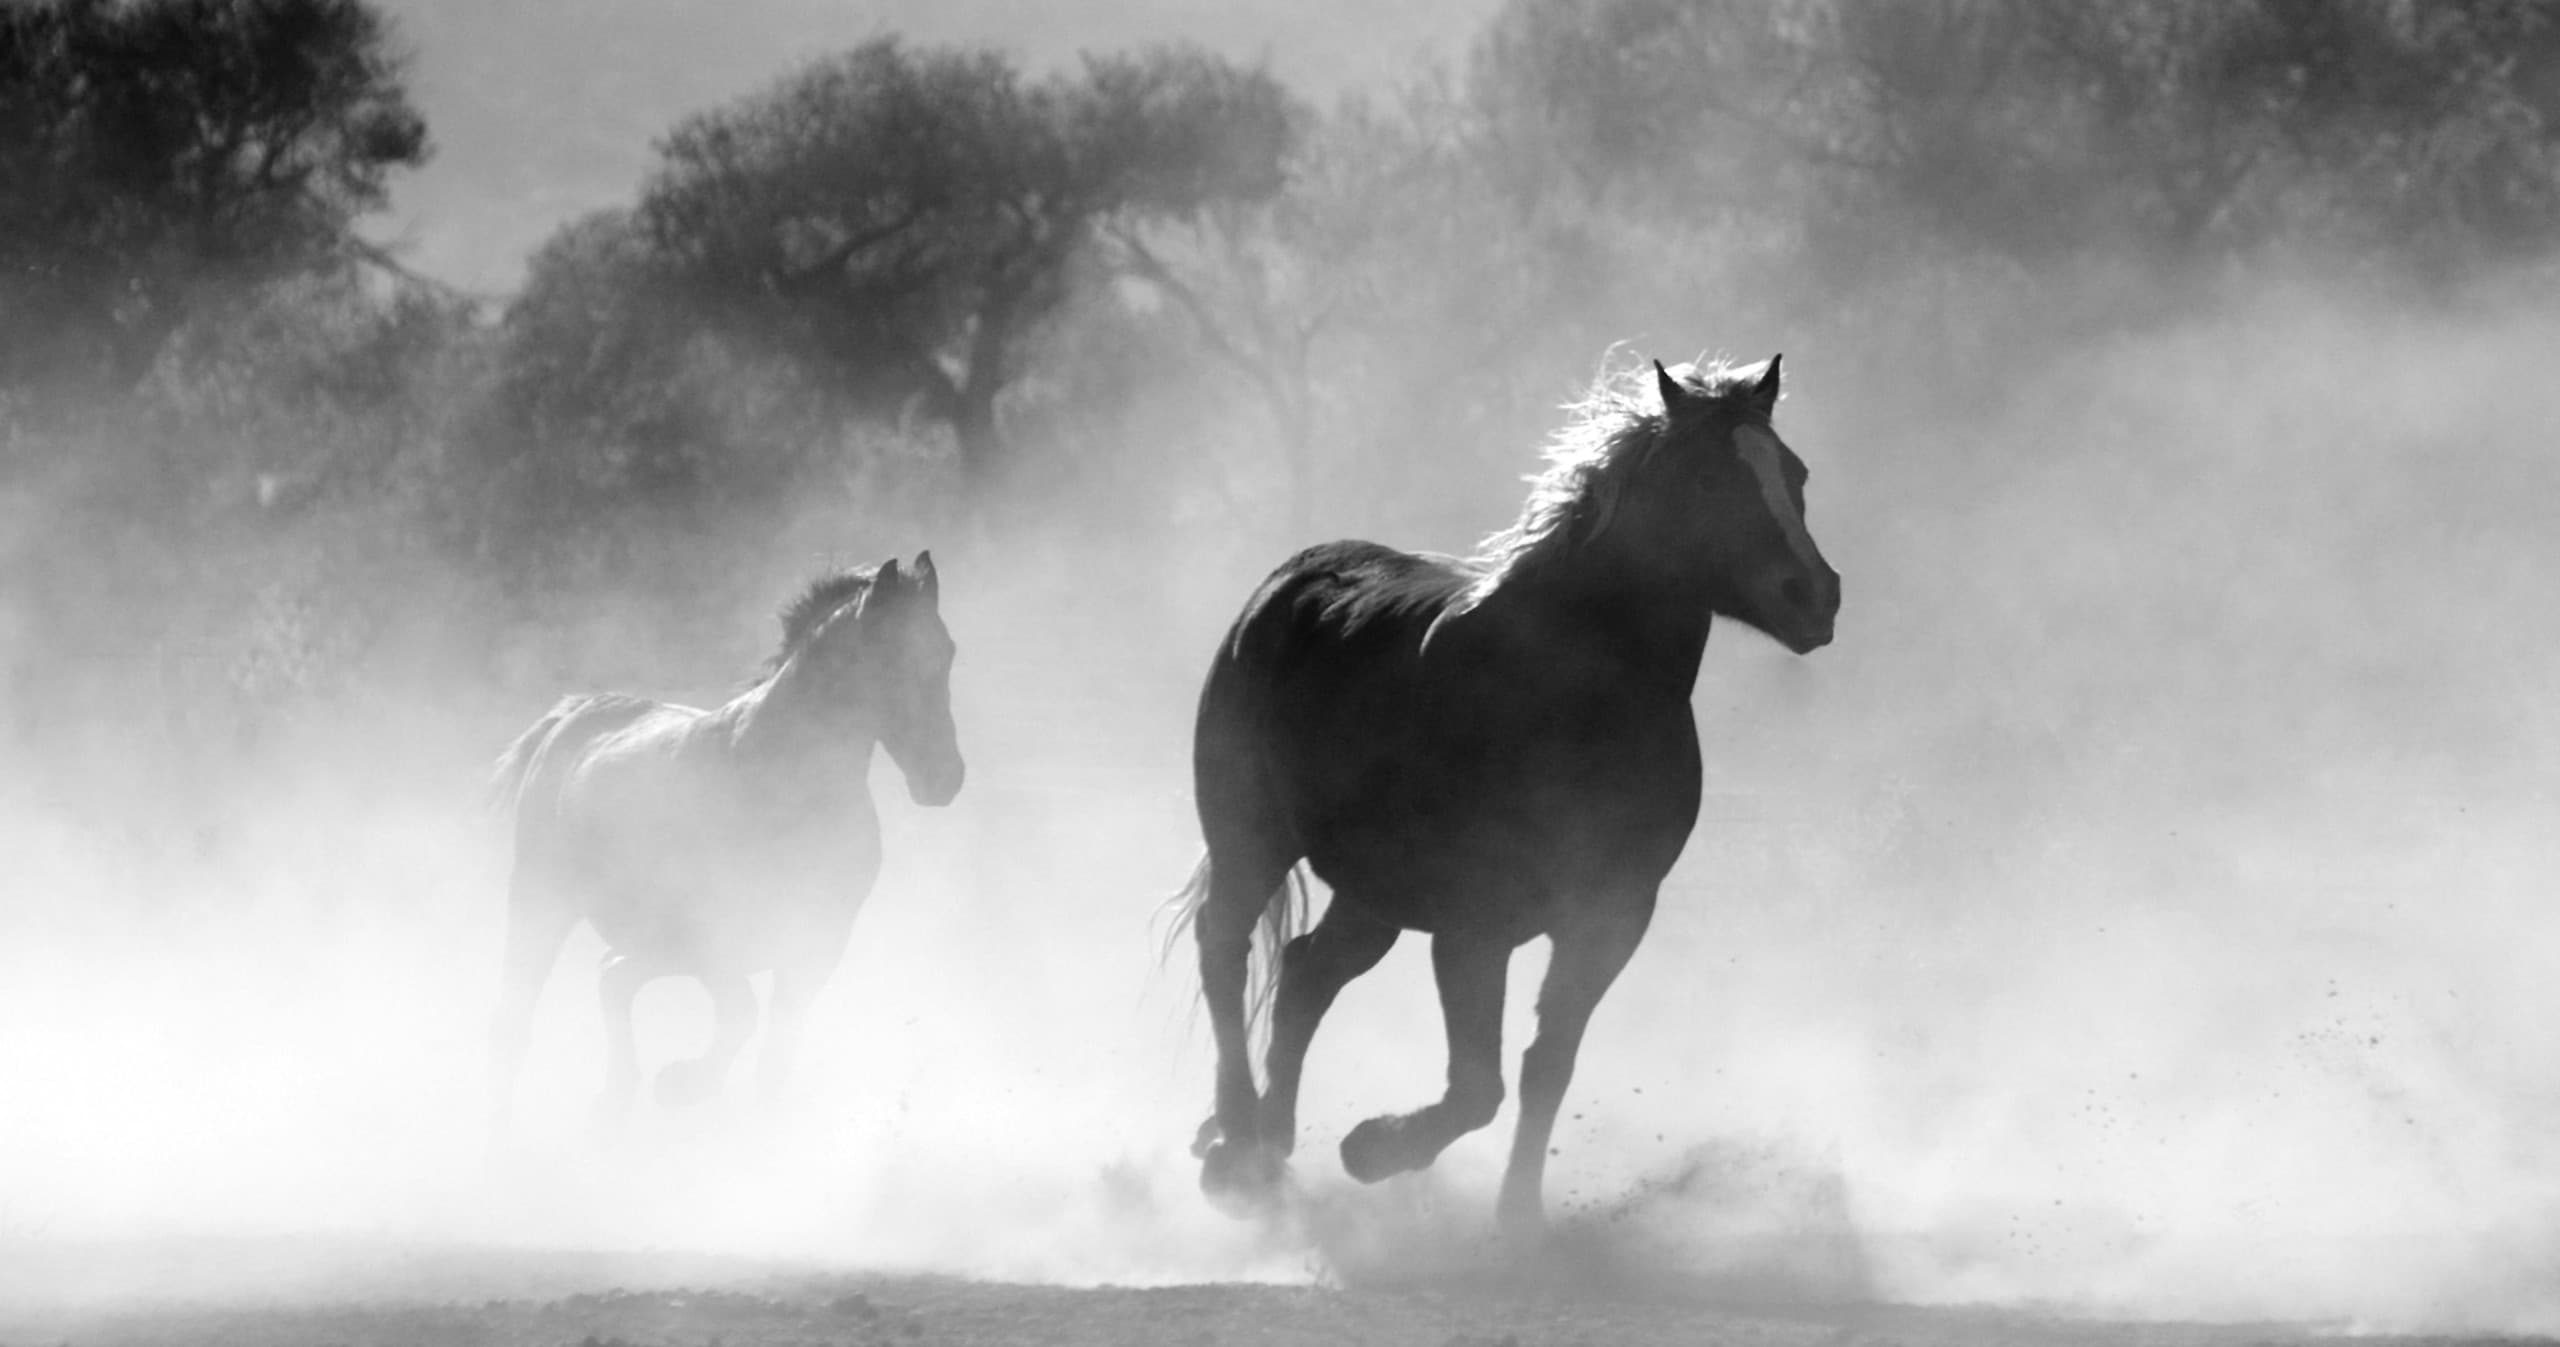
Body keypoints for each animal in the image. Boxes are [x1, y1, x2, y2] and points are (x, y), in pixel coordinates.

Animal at [485, 553, 963, 1138]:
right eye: (890, 656)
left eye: (946, 651)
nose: (944, 778)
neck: (782, 780)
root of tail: (571, 717)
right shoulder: (714, 936)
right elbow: (742, 1015)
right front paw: (682, 1085)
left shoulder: (816, 945)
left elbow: (773, 1058)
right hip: (542, 900)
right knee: (517, 1018)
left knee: (612, 976)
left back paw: (613, 1102)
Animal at [1169, 354, 1841, 1231]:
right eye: (1705, 478)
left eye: (1794, 473)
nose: (1815, 595)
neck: (1571, 696)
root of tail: (1286, 584)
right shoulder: (1473, 926)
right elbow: (1477, 1086)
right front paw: (1374, 1148)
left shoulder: (1610, 917)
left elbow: (1544, 1066)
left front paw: (1517, 1217)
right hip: (1251, 839)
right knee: (1225, 950)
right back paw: (1239, 1145)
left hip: (1374, 894)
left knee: (1305, 971)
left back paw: (1272, 1145)